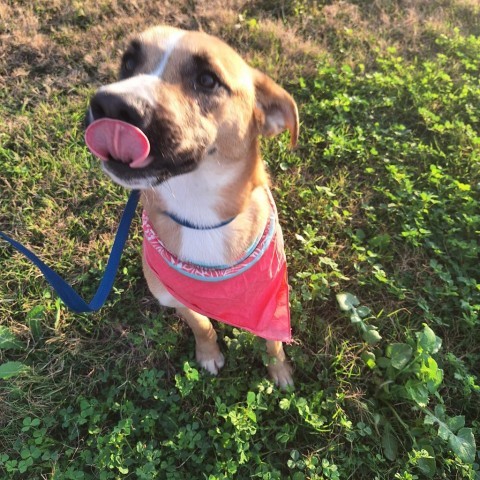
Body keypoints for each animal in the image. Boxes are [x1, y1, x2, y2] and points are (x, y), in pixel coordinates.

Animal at [84, 24, 298, 388]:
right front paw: (209, 354)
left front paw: (279, 371)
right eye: (128, 62)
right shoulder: (173, 295)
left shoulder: (270, 300)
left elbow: (273, 339)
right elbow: (202, 324)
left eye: (208, 80)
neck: (200, 213)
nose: (111, 104)